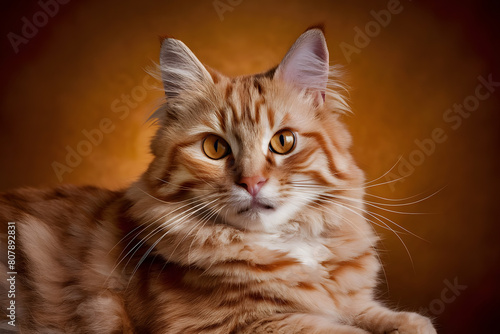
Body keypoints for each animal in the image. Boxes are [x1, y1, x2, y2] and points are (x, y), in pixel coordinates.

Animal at [0, 27, 438, 332]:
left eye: (283, 142)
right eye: (215, 148)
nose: (252, 182)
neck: (283, 247)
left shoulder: (352, 303)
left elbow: (395, 319)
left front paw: (409, 324)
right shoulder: (236, 325)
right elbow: (339, 330)